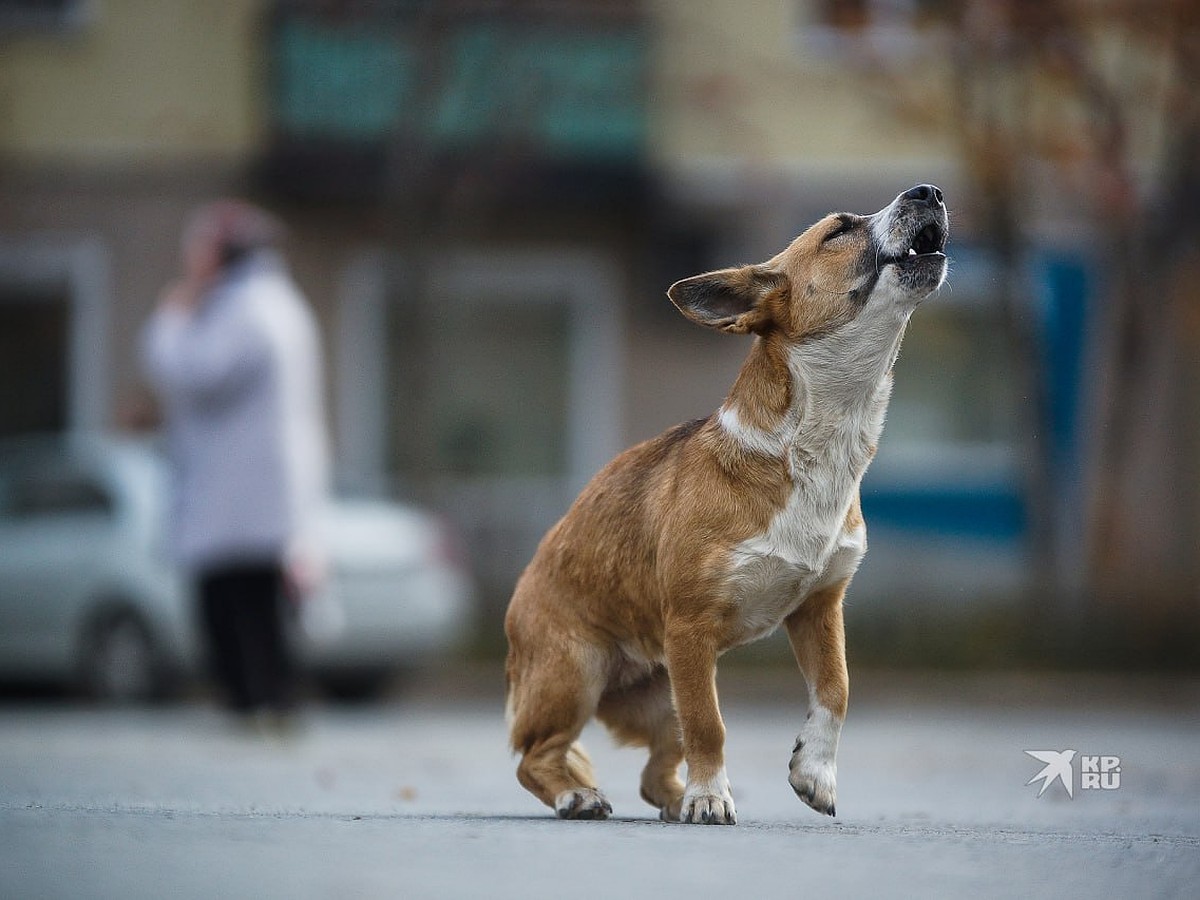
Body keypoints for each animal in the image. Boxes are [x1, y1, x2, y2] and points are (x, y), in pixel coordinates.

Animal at [504, 183, 945, 825]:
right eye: (838, 230)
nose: (929, 191)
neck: (815, 447)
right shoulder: (691, 630)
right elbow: (712, 727)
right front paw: (711, 797)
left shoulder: (820, 609)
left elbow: (836, 690)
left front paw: (814, 772)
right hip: (580, 675)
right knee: (537, 756)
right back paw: (581, 794)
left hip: (664, 694)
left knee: (655, 769)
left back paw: (672, 799)